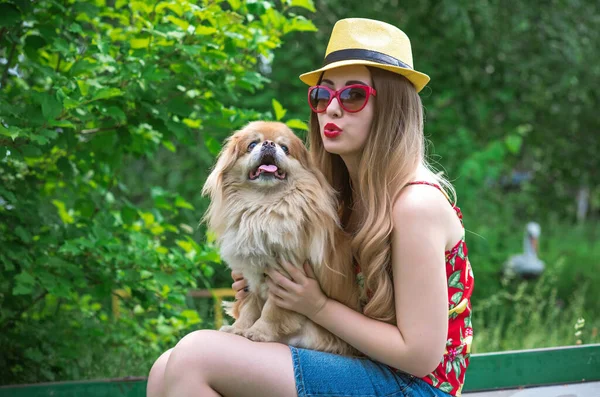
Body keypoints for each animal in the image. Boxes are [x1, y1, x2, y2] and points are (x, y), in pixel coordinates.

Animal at [202, 119, 360, 354]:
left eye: (284, 148)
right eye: (252, 144)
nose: (268, 144)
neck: (263, 208)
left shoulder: (286, 279)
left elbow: (272, 312)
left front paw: (258, 333)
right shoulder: (251, 277)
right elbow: (249, 307)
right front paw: (239, 329)